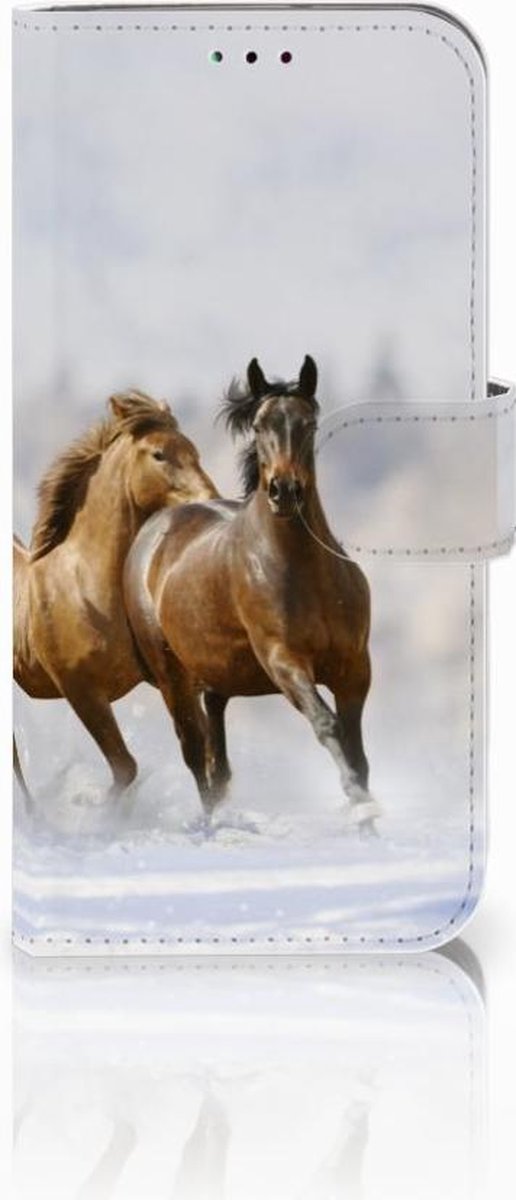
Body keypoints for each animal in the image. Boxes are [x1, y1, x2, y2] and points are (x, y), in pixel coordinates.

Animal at [14, 389, 218, 796]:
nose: (209, 498)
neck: (86, 588)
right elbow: (125, 768)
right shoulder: (82, 691)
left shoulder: (172, 679)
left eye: (194, 451)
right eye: (159, 454)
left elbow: (200, 751)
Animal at [124, 357, 379, 826]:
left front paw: (367, 818)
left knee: (217, 759)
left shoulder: (355, 667)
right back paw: (209, 824)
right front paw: (358, 803)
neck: (305, 572)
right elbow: (327, 725)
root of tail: (155, 529)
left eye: (309, 423)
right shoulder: (284, 661)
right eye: (259, 426)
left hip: (216, 677)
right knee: (195, 753)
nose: (284, 491)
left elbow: (357, 750)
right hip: (172, 676)